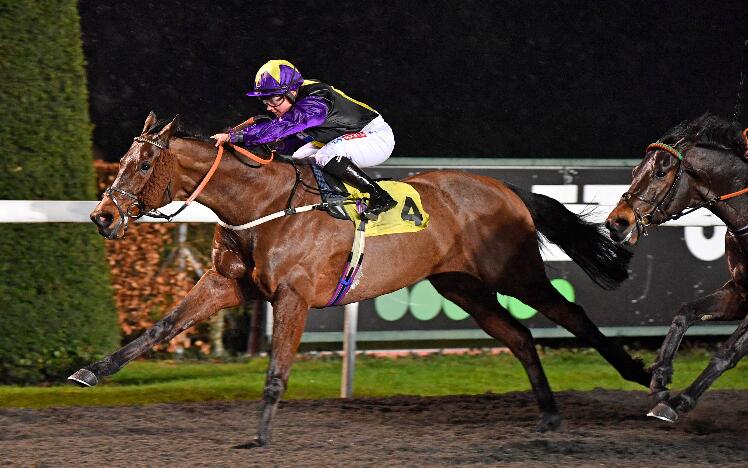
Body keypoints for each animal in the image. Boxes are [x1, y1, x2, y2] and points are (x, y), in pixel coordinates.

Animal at [73, 111, 652, 448]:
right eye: (122, 159)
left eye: (143, 165)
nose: (102, 215)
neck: (261, 205)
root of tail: (508, 189)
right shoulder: (225, 283)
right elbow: (162, 327)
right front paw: (91, 372)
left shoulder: (293, 296)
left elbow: (277, 370)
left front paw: (260, 435)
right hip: (461, 285)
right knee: (521, 335)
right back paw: (549, 415)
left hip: (516, 274)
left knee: (569, 314)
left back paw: (641, 375)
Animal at [608, 113, 748, 424]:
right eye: (635, 170)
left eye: (661, 172)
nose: (616, 222)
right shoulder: (740, 292)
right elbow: (685, 312)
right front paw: (659, 383)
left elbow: (728, 351)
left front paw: (679, 401)